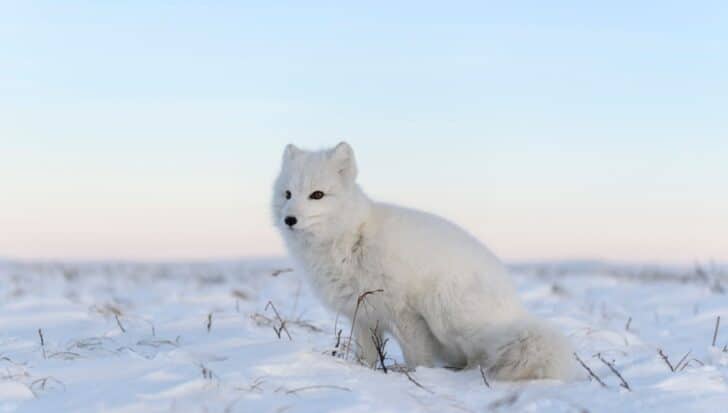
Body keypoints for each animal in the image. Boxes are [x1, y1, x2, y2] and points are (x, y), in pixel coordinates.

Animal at [270, 142, 576, 380]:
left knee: (480, 355)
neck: (352, 239)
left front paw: (416, 376)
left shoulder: (404, 314)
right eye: (287, 194)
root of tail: (515, 308)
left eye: (317, 195)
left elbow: (417, 357)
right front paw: (364, 372)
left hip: (445, 313)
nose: (289, 219)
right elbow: (366, 356)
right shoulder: (364, 316)